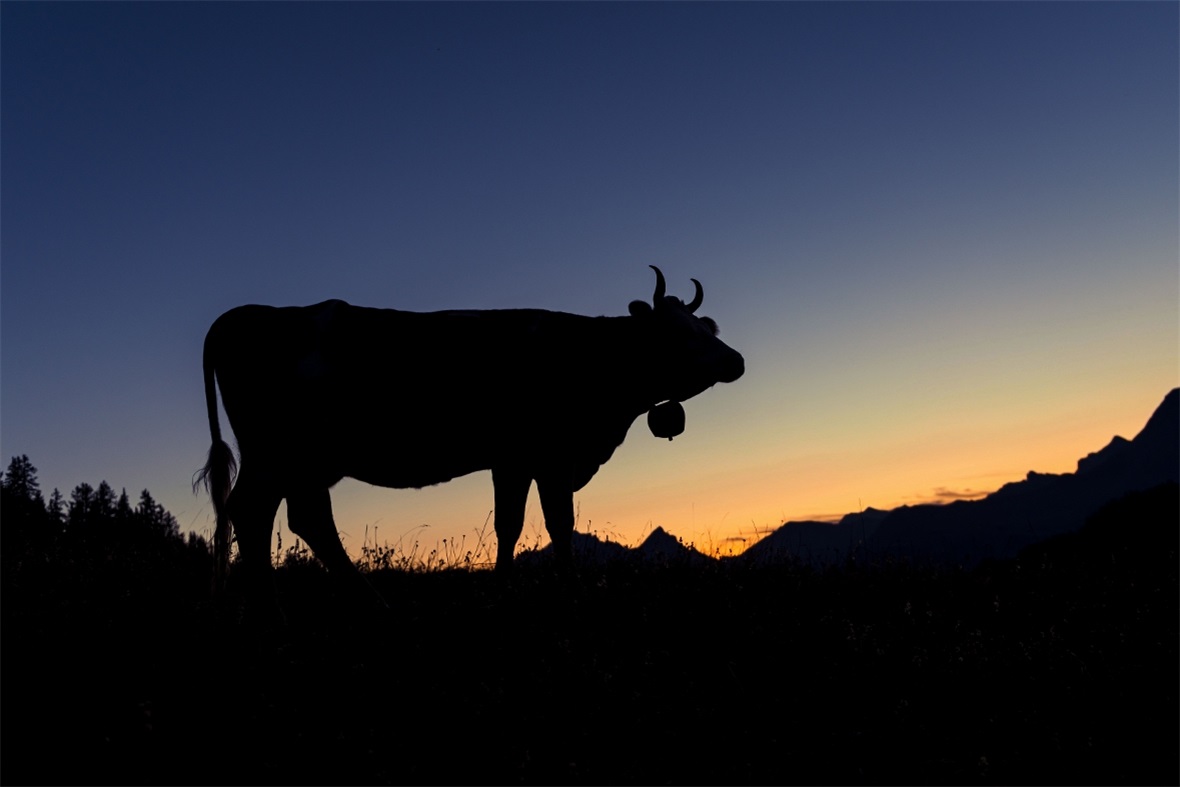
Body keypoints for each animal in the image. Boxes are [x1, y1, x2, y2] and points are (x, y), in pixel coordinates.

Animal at [194, 266, 744, 604]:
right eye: (679, 332)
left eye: (705, 326)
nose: (735, 361)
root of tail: (245, 315)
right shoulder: (549, 455)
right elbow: (558, 524)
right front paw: (568, 588)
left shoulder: (512, 460)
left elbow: (510, 525)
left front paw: (503, 588)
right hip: (276, 453)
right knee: (255, 512)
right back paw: (272, 603)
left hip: (304, 462)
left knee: (304, 518)